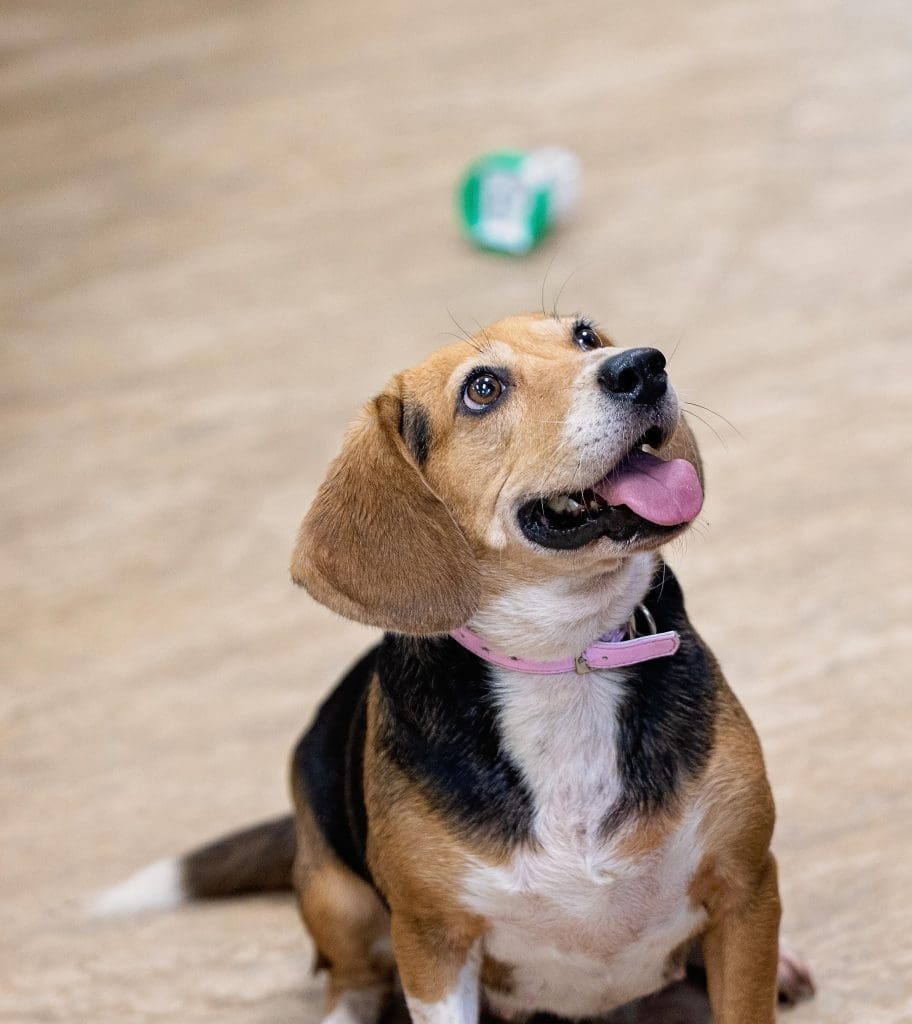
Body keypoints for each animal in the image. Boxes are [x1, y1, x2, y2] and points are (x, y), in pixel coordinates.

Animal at [94, 315, 814, 1019]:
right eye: (483, 390)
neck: (564, 660)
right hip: (335, 896)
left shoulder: (745, 887)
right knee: (349, 978)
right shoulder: (434, 948)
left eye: (584, 336)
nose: (644, 365)